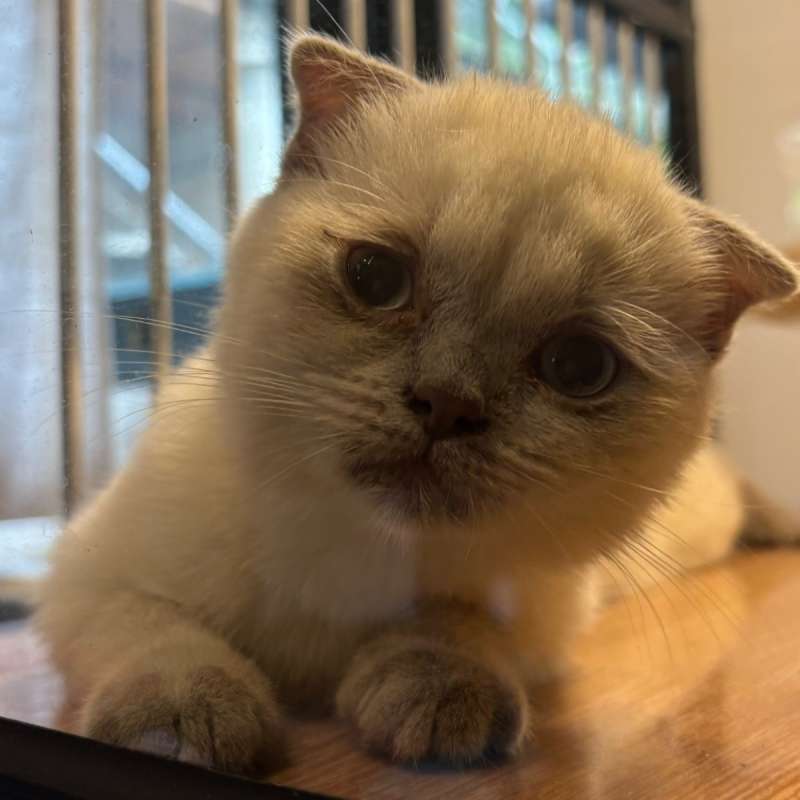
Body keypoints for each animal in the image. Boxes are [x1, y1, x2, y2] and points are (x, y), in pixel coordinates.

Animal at [37, 32, 800, 776]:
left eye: (580, 366)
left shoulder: (539, 605)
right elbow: (156, 635)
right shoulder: (87, 576)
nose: (446, 404)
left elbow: (453, 623)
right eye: (376, 277)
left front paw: (438, 693)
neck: (357, 552)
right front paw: (182, 719)